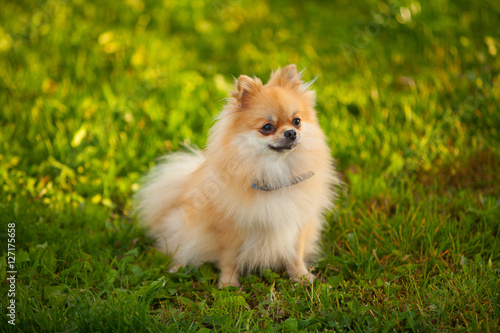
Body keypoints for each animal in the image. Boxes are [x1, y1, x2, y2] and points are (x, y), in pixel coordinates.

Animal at [137, 64, 340, 286]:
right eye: (267, 127)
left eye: (297, 121)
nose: (291, 133)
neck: (275, 173)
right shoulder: (229, 230)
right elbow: (229, 258)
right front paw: (228, 284)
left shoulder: (297, 224)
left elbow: (296, 253)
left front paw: (301, 277)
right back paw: (176, 269)